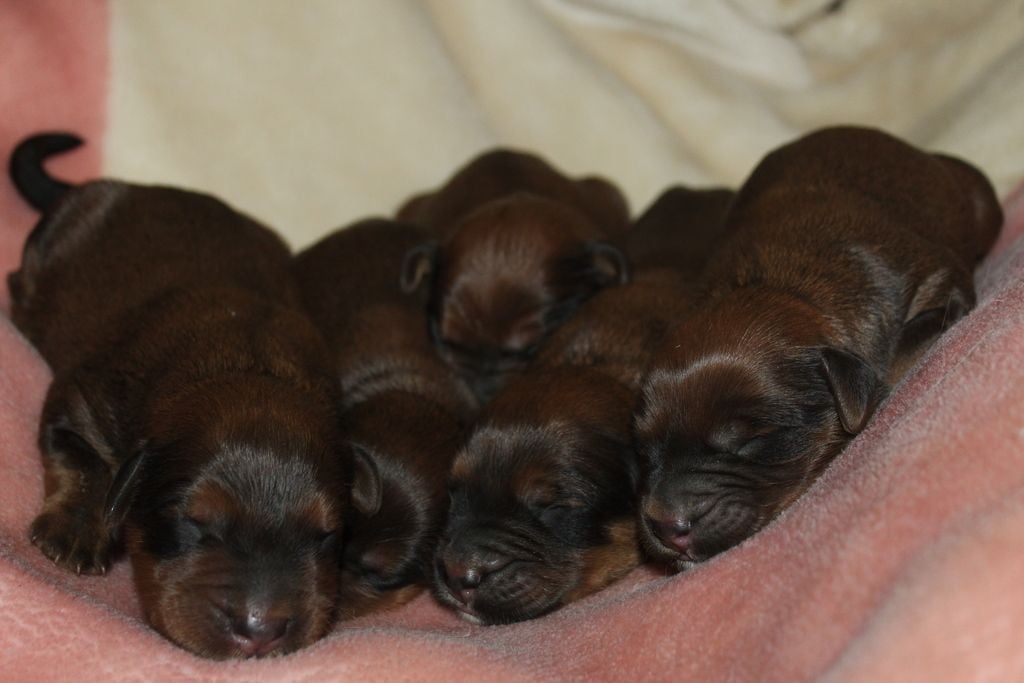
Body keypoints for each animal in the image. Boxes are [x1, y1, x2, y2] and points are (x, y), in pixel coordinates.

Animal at [9, 131, 376, 659]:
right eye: (195, 522)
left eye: (326, 535)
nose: (260, 629)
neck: (247, 361)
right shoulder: (81, 400)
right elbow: (81, 458)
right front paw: (75, 530)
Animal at [634, 124, 1003, 573]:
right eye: (643, 450)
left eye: (749, 440)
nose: (666, 527)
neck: (784, 288)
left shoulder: (942, 283)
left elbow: (900, 352)